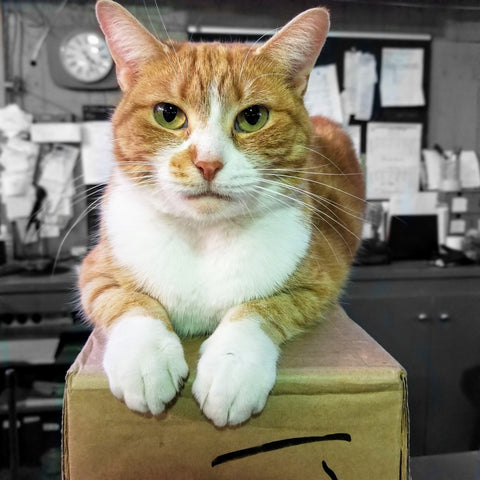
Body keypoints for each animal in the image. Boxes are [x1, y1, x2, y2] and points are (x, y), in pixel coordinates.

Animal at [79, 0, 364, 428]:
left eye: (253, 117)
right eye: (167, 114)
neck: (204, 236)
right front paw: (145, 360)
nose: (208, 163)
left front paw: (233, 367)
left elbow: (262, 308)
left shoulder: (319, 283)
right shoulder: (96, 269)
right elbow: (127, 300)